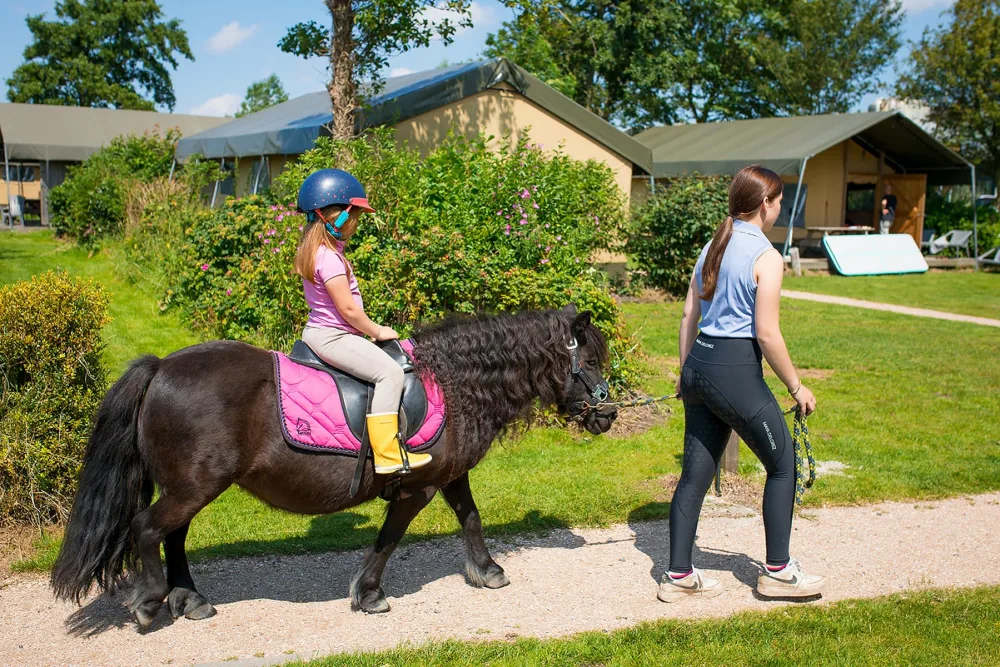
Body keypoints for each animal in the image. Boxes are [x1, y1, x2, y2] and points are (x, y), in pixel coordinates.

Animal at [50, 305, 618, 628]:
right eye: (589, 362)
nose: (609, 414)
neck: (456, 381)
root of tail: (162, 365)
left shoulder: (450, 475)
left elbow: (472, 518)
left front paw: (488, 571)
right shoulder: (416, 489)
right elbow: (388, 539)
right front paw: (368, 595)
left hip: (189, 486)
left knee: (173, 536)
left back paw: (190, 600)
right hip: (193, 486)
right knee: (147, 528)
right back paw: (151, 603)